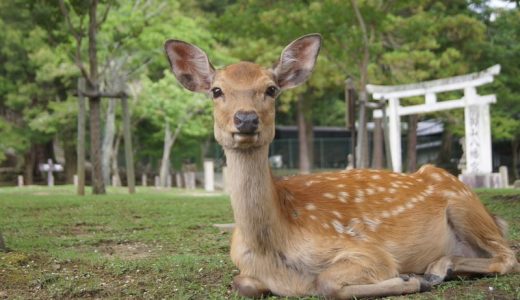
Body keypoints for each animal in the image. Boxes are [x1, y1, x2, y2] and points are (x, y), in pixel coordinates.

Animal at [164, 34, 520, 298]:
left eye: (271, 89)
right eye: (216, 90)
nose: (246, 119)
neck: (272, 250)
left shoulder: (368, 250)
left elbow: (327, 283)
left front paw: (409, 279)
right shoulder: (243, 268)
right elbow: (243, 284)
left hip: (463, 204)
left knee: (507, 256)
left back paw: (435, 270)